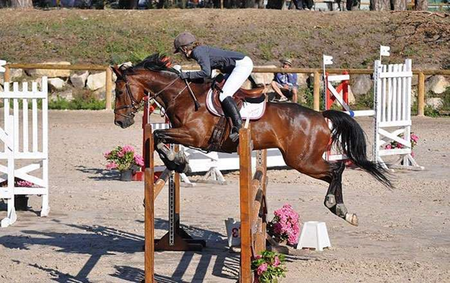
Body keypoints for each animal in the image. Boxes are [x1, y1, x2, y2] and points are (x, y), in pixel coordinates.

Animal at [111, 53, 390, 226]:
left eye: (119, 90)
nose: (120, 122)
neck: (182, 96)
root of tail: (321, 116)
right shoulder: (184, 133)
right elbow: (160, 138)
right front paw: (179, 162)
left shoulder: (194, 135)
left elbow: (159, 136)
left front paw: (178, 162)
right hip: (304, 160)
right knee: (335, 170)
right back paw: (343, 210)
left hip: (303, 160)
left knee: (336, 169)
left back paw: (337, 206)